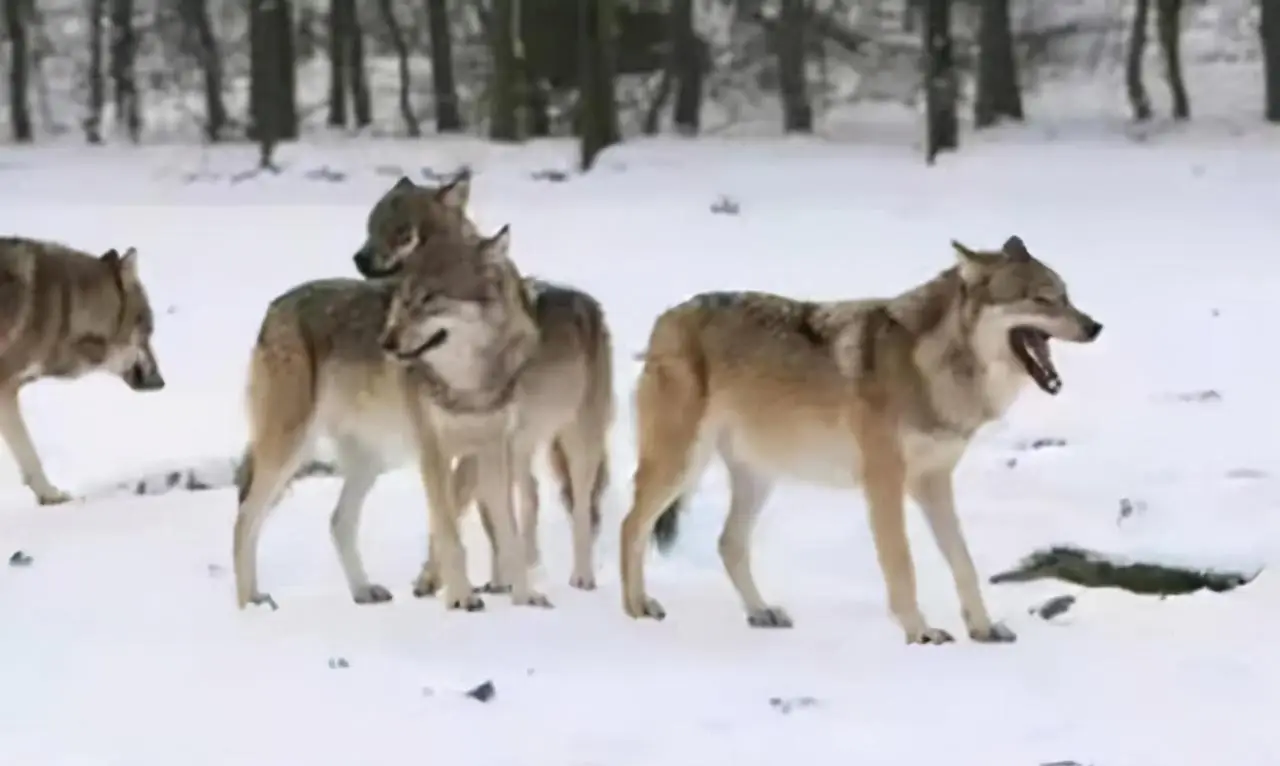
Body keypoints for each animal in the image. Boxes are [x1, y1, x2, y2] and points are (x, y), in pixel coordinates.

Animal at [0, 236, 165, 507]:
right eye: (147, 333)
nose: (161, 381)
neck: (65, 308)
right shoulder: (5, 388)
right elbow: (29, 453)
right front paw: (51, 495)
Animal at [616, 236, 1100, 645]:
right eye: (1041, 299)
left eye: (1066, 296)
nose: (1095, 326)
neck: (934, 368)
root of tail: (668, 316)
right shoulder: (884, 482)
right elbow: (902, 563)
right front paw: (921, 633)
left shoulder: (934, 482)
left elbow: (963, 562)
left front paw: (983, 629)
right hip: (682, 464)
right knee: (630, 524)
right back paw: (636, 608)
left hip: (756, 476)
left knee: (728, 543)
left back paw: (761, 612)